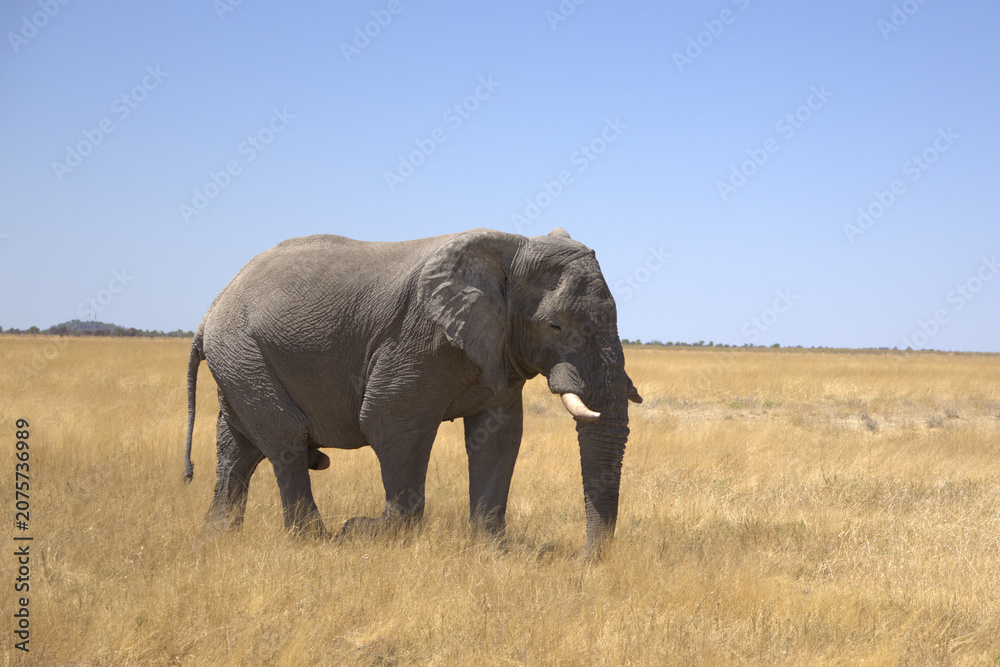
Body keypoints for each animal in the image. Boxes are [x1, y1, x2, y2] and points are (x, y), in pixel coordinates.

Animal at [183, 227, 642, 556]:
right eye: (555, 326)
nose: (587, 561)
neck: (511, 250)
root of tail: (208, 314)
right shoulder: (416, 336)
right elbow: (390, 423)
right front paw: (362, 532)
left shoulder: (496, 348)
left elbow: (499, 437)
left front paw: (493, 552)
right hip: (243, 351)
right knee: (286, 441)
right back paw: (315, 540)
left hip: (240, 362)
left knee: (239, 447)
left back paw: (218, 535)